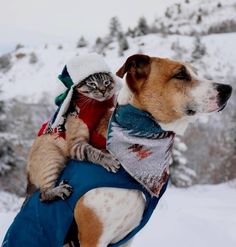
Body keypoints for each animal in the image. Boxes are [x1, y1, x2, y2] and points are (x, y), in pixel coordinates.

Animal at [26, 72, 121, 202]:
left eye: (106, 82)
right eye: (92, 84)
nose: (103, 90)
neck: (98, 106)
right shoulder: (76, 144)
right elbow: (94, 152)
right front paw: (109, 160)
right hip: (53, 158)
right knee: (43, 195)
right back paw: (61, 190)